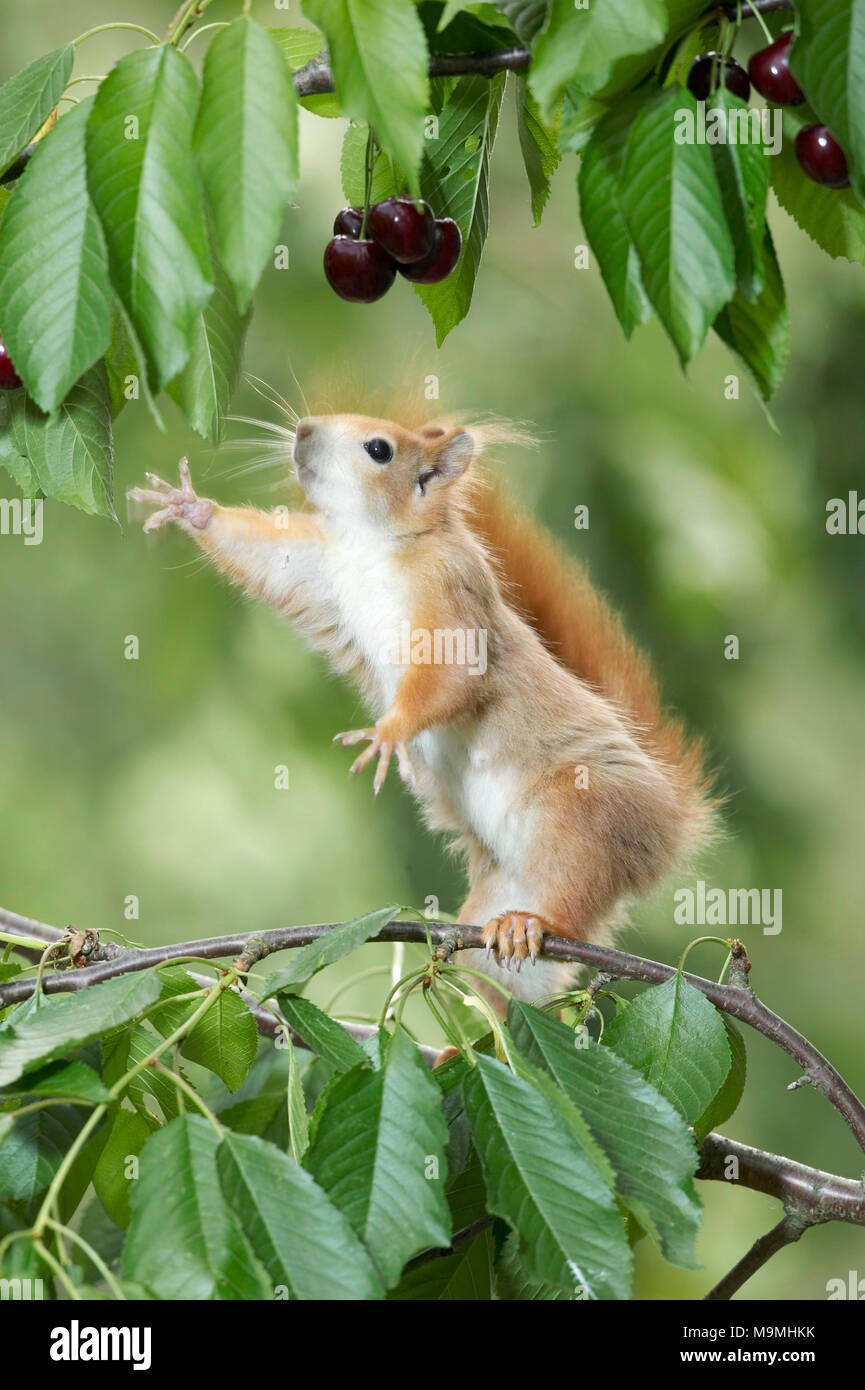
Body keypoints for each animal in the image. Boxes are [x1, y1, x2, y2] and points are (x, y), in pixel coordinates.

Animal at [129, 413, 714, 1010]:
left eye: (379, 449)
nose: (303, 429)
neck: (372, 545)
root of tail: (670, 826)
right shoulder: (318, 571)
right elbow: (266, 558)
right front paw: (189, 506)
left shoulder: (449, 590)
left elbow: (451, 674)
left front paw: (388, 733)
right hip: (502, 891)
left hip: (583, 814)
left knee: (573, 896)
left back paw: (537, 923)